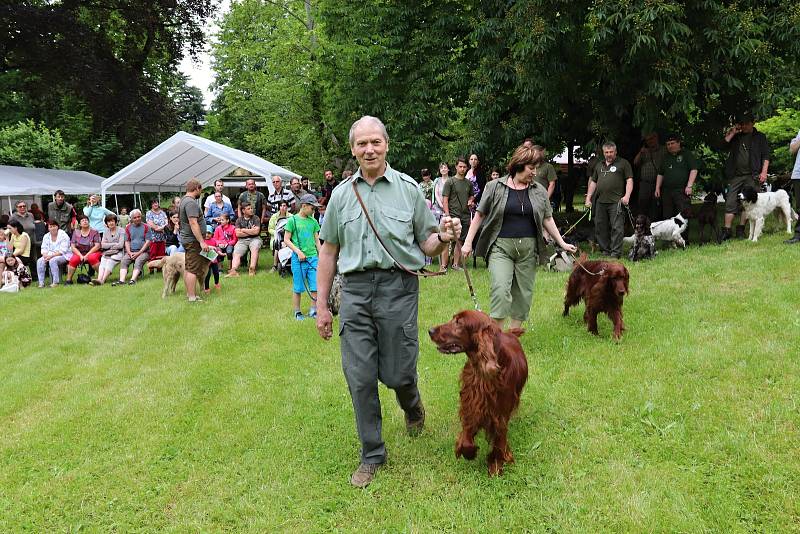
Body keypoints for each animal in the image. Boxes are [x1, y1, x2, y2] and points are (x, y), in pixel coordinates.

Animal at [428, 310, 528, 478]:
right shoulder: (471, 405)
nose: (430, 330)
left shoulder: (499, 415)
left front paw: (495, 464)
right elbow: (467, 436)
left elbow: (499, 442)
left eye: (459, 322)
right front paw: (470, 452)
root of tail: (509, 333)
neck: (482, 373)